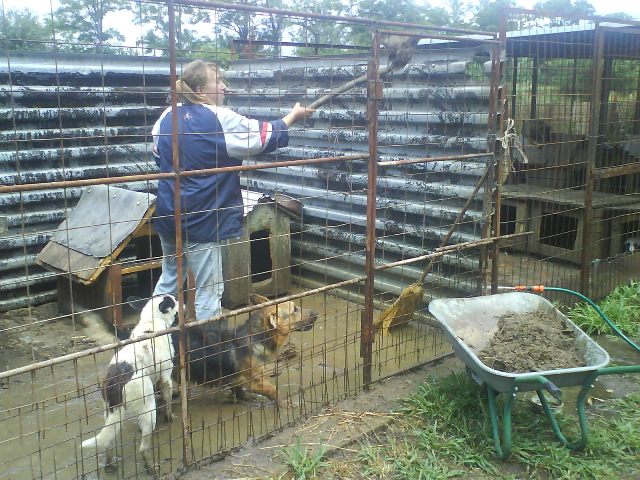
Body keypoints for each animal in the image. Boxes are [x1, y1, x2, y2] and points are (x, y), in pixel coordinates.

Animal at [81, 294, 178, 473]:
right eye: (174, 300)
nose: (183, 303)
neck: (151, 322)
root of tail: (116, 379)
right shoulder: (166, 377)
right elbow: (167, 401)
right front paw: (170, 417)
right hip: (148, 407)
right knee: (143, 447)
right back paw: (151, 467)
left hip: (110, 412)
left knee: (108, 442)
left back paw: (110, 465)